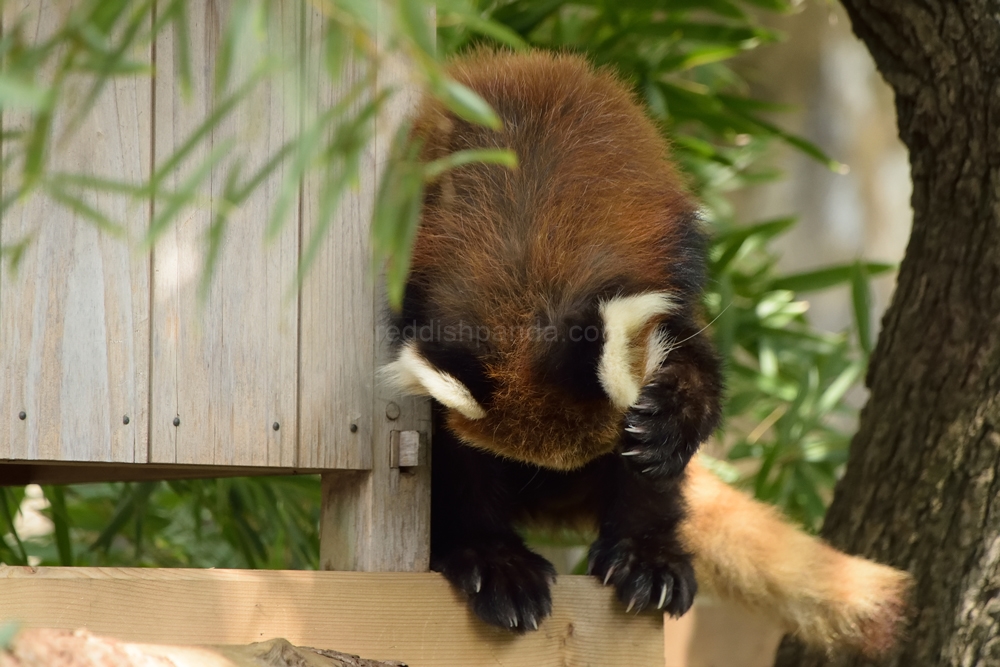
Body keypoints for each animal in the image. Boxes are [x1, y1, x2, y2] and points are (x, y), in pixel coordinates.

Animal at [378, 49, 912, 656]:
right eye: (510, 465)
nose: (552, 487)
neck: (531, 269)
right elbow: (457, 460)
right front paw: (488, 552)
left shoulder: (668, 266)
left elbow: (692, 370)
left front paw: (666, 424)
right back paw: (495, 563)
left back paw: (647, 558)